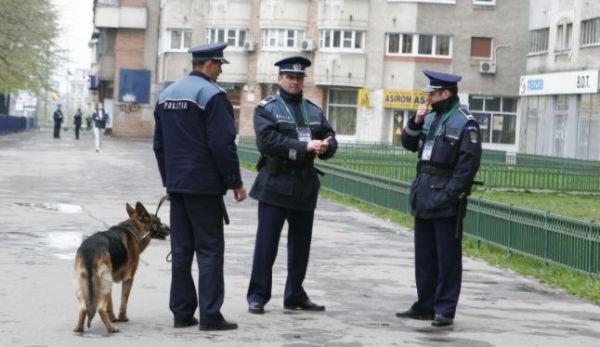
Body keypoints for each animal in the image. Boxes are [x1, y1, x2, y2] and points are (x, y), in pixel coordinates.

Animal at [74, 204, 170, 334]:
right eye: (158, 221)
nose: (169, 228)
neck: (133, 229)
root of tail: (90, 251)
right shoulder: (129, 279)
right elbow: (124, 301)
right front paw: (122, 318)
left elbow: (110, 304)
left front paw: (113, 318)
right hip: (104, 284)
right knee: (100, 308)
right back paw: (111, 329)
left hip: (84, 286)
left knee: (84, 307)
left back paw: (79, 328)